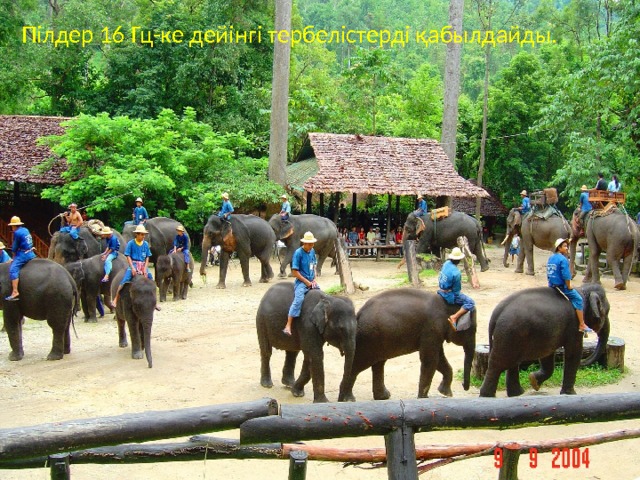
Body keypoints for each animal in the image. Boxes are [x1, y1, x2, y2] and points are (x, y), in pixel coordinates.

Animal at [340, 288, 476, 402]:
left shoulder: (435, 333)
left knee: (379, 363)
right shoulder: (431, 329)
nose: (464, 386)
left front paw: (445, 393)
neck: (445, 304)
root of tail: (359, 314)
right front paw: (423, 398)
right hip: (369, 339)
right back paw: (347, 399)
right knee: (358, 364)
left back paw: (382, 397)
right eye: (472, 330)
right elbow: (430, 359)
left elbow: (439, 359)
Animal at [480, 284, 608, 398]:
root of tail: (496, 314)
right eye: (607, 311)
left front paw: (533, 381)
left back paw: (517, 394)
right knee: (498, 364)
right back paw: (487, 396)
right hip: (509, 333)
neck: (582, 290)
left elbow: (547, 354)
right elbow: (574, 352)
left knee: (512, 362)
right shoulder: (574, 325)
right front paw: (570, 394)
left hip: (512, 335)